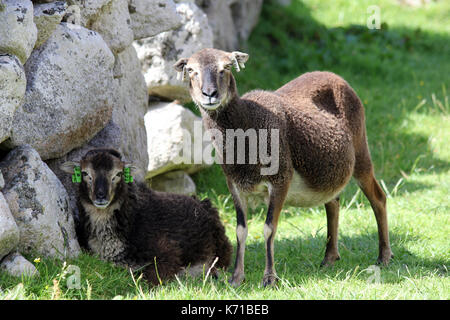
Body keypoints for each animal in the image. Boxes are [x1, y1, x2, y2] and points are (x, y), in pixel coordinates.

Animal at [60, 148, 232, 284]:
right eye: (85, 173)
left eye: (118, 174)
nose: (101, 196)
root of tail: (202, 203)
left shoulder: (167, 252)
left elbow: (151, 275)